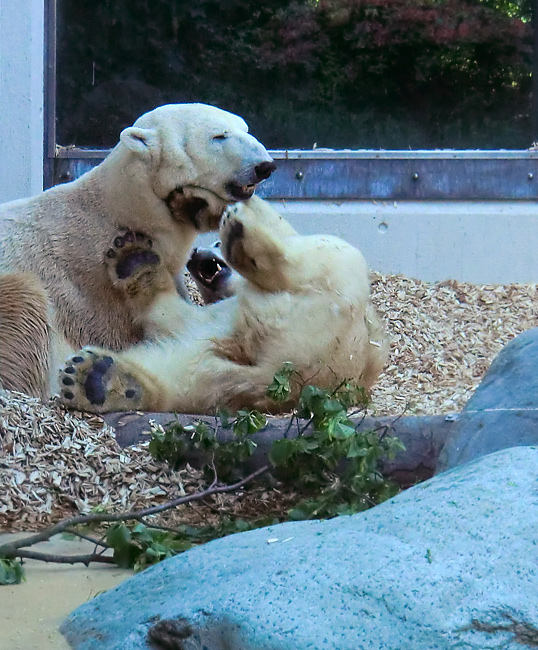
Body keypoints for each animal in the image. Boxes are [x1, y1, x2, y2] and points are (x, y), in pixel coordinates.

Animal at [58, 195, 388, 412]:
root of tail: (282, 374)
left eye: (212, 244)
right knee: (184, 382)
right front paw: (134, 260)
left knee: (325, 253)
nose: (196, 255)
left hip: (336, 300)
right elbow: (169, 318)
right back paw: (98, 380)